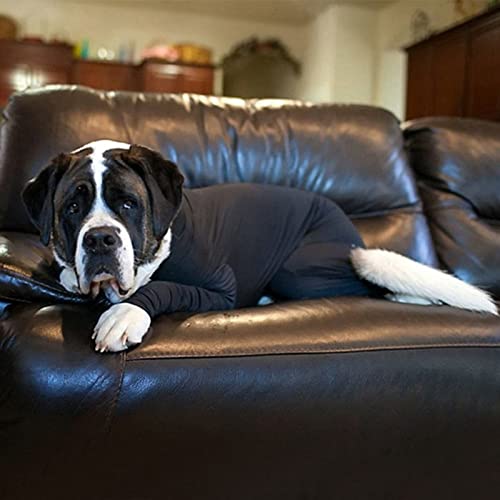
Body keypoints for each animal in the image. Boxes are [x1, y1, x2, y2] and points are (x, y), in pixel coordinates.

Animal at [22, 139, 496, 354]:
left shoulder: (219, 289)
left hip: (300, 269)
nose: (100, 238)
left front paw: (125, 313)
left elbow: (162, 289)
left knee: (366, 286)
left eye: (127, 203)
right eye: (72, 207)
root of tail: (353, 237)